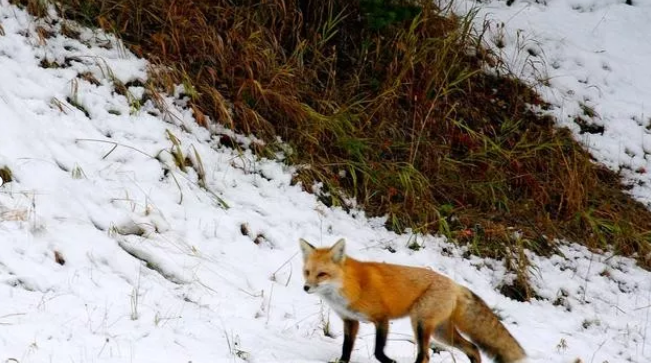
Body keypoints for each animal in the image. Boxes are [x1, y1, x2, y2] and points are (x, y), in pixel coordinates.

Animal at [300, 239, 524, 363]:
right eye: (307, 272)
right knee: (473, 349)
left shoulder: (381, 318)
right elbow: (346, 349)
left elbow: (378, 351)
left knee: (425, 356)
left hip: (420, 323)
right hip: (441, 332)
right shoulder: (350, 320)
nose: (305, 288)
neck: (350, 285)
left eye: (322, 274)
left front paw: (390, 361)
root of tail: (455, 284)